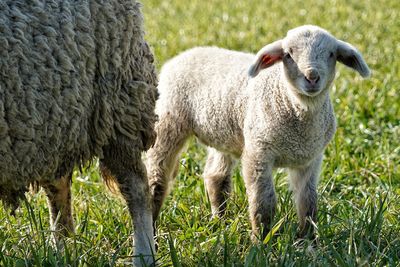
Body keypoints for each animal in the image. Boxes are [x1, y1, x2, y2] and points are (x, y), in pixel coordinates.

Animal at [0, 0, 159, 266]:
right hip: (54, 114)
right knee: (59, 188)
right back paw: (62, 252)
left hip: (118, 102)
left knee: (137, 188)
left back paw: (144, 255)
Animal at [145, 26, 370, 242]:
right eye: (288, 54)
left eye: (331, 54)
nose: (312, 77)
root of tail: (185, 54)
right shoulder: (259, 152)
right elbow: (263, 200)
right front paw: (261, 240)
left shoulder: (310, 159)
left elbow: (308, 201)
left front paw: (308, 241)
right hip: (168, 122)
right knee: (157, 176)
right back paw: (153, 227)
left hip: (225, 132)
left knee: (215, 176)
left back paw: (220, 221)